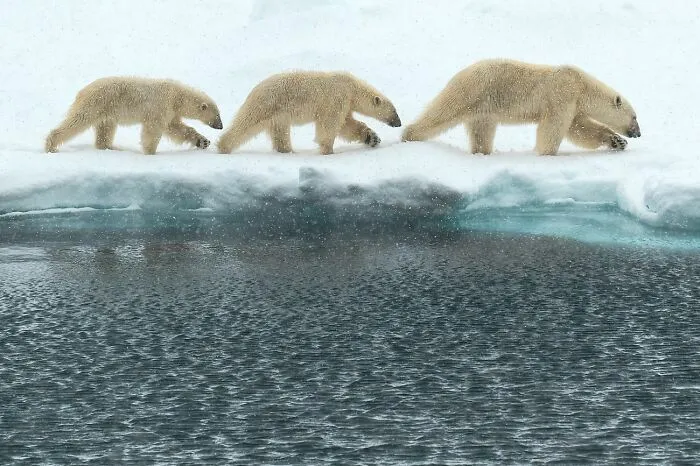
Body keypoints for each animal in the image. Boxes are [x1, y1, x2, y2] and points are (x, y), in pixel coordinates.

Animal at [45, 77, 223, 155]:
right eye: (217, 115)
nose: (221, 126)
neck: (177, 95)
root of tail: (82, 91)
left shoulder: (170, 111)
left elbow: (176, 128)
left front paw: (203, 141)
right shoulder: (160, 106)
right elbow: (154, 130)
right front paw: (150, 152)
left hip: (106, 110)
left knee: (106, 128)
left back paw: (112, 147)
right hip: (96, 103)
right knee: (78, 120)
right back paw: (51, 145)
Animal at [216, 71, 402, 155]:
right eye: (394, 111)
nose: (399, 123)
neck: (351, 87)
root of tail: (253, 90)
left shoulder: (345, 104)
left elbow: (347, 125)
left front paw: (373, 138)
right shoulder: (336, 98)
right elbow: (330, 125)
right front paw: (327, 150)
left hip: (278, 116)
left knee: (280, 133)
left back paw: (287, 151)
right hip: (267, 104)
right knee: (246, 123)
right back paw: (223, 146)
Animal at [401, 59, 641, 155]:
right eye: (635, 117)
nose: (638, 133)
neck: (582, 84)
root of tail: (459, 74)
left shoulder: (573, 104)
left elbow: (579, 128)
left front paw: (617, 141)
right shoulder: (561, 94)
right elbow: (553, 127)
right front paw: (547, 153)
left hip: (483, 110)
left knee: (481, 132)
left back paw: (482, 153)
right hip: (472, 91)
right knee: (441, 113)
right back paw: (409, 135)